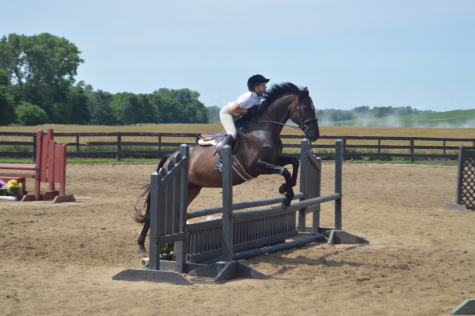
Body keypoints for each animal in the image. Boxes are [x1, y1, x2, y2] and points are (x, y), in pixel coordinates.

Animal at [133, 82, 320, 254]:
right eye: (305, 107)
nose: (314, 135)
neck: (264, 129)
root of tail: (172, 157)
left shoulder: (274, 159)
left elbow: (294, 163)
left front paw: (285, 188)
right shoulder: (256, 166)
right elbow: (284, 171)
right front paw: (286, 199)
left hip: (191, 188)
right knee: (153, 213)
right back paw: (142, 246)